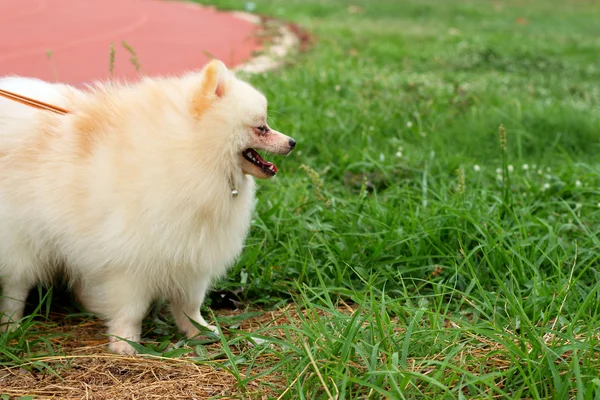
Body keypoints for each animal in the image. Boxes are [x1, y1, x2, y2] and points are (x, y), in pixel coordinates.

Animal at [0, 58, 296, 354]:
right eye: (261, 127)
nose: (292, 142)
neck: (194, 154)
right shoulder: (131, 262)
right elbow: (131, 310)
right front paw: (125, 342)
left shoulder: (191, 255)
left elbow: (189, 305)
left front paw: (199, 331)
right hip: (22, 243)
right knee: (15, 289)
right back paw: (11, 325)